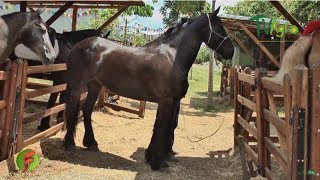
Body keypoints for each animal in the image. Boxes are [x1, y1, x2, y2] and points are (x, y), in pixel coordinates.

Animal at [63, 7, 234, 170]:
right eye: (219, 27)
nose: (231, 51)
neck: (172, 57)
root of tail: (78, 45)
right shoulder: (166, 100)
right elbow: (162, 127)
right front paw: (158, 162)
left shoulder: (171, 101)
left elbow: (163, 127)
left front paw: (152, 156)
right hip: (77, 86)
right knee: (73, 109)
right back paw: (69, 143)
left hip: (94, 86)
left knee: (86, 109)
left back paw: (91, 143)